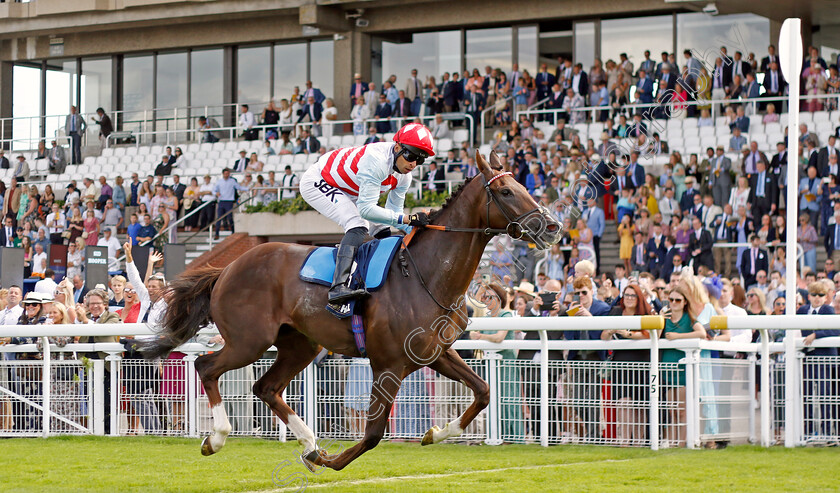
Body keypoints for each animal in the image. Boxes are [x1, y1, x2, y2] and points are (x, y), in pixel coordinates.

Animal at [143, 150, 564, 468]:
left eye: (524, 186)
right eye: (507, 191)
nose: (552, 226)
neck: (427, 274)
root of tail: (226, 268)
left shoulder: (435, 353)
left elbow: (483, 391)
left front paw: (435, 433)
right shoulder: (389, 363)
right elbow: (374, 434)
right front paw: (333, 462)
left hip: (300, 343)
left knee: (265, 386)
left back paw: (310, 444)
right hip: (249, 340)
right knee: (206, 367)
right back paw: (217, 438)